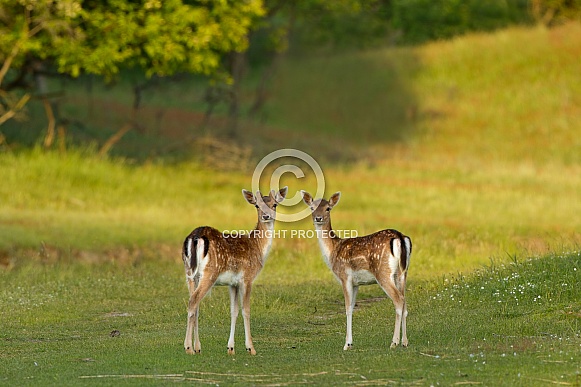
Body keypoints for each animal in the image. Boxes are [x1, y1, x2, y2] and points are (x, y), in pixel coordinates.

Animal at [180, 187, 286, 354]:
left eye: (274, 204)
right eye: (257, 205)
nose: (266, 216)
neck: (258, 248)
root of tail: (194, 237)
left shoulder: (233, 283)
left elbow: (233, 311)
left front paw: (231, 348)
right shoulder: (247, 278)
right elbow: (246, 310)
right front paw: (251, 348)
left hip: (189, 273)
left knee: (195, 305)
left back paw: (197, 347)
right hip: (210, 273)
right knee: (193, 302)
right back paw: (188, 347)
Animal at [302, 191, 410, 352]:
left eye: (328, 208)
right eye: (312, 207)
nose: (318, 218)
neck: (333, 252)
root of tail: (400, 237)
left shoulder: (345, 276)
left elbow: (347, 308)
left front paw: (347, 344)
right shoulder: (357, 283)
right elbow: (352, 307)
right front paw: (350, 342)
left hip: (383, 272)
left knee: (398, 300)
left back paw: (394, 342)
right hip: (402, 273)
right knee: (405, 301)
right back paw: (405, 341)